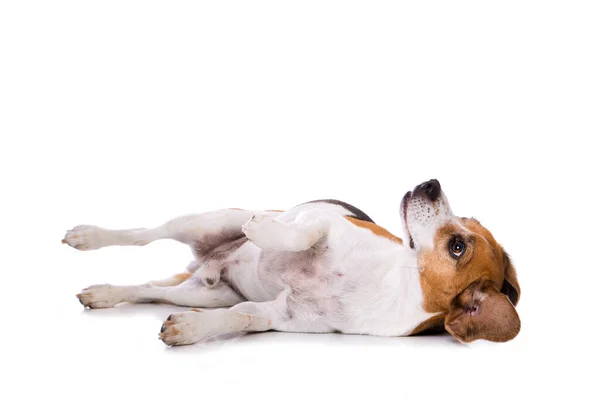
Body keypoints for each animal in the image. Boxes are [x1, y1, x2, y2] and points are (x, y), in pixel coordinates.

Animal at [62, 180, 520, 346]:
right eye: (466, 224)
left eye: (457, 247)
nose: (431, 183)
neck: (392, 280)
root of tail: (206, 263)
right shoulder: (329, 223)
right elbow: (306, 231)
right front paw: (266, 232)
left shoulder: (279, 316)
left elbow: (241, 317)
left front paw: (190, 329)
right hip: (207, 221)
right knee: (145, 233)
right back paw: (87, 236)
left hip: (208, 292)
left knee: (148, 291)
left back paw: (104, 294)